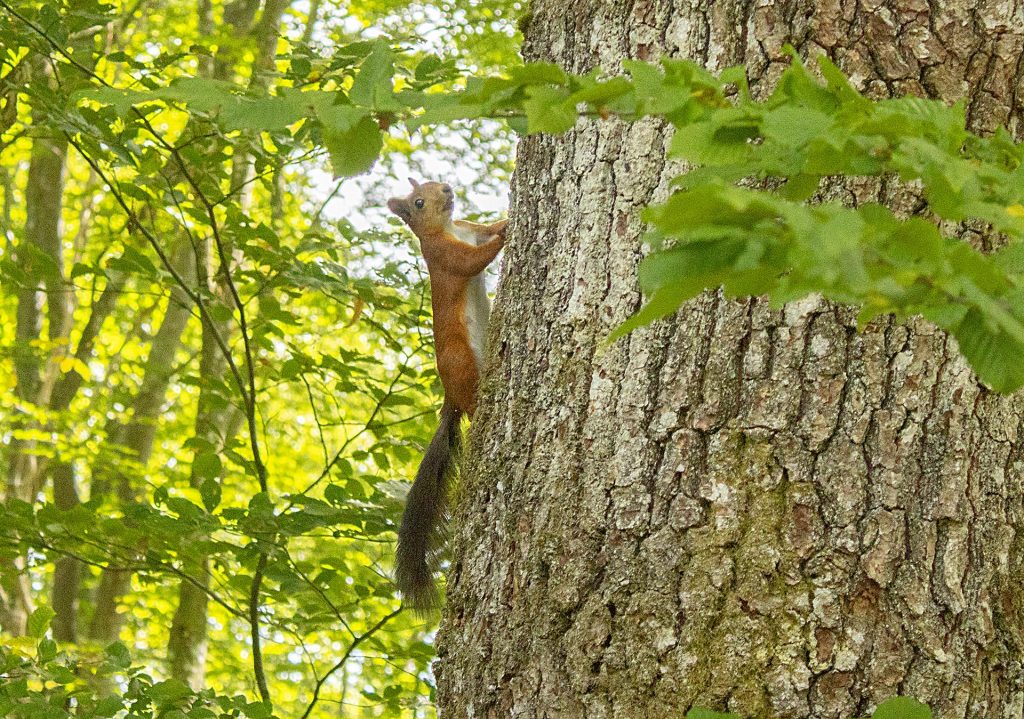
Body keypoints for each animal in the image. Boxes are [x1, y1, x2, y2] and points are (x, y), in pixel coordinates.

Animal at [386, 178, 508, 610]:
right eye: (419, 201)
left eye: (430, 181)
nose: (448, 188)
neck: (448, 228)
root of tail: (449, 401)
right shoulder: (445, 256)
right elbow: (474, 262)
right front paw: (507, 235)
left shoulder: (471, 229)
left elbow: (487, 229)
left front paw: (506, 218)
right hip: (462, 365)